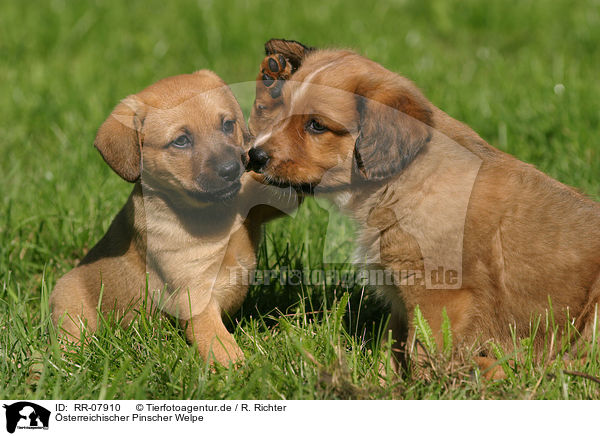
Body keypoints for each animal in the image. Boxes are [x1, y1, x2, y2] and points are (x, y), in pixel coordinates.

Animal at [49, 71, 290, 364]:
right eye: (181, 141)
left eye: (227, 125)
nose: (232, 169)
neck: (212, 216)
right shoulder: (196, 300)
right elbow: (221, 346)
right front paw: (242, 370)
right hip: (71, 313)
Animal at [247, 39, 600, 372]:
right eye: (280, 109)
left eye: (317, 125)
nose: (254, 156)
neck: (404, 178)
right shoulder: (401, 298)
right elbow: (391, 349)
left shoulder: (439, 296)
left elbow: (422, 354)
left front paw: (426, 388)